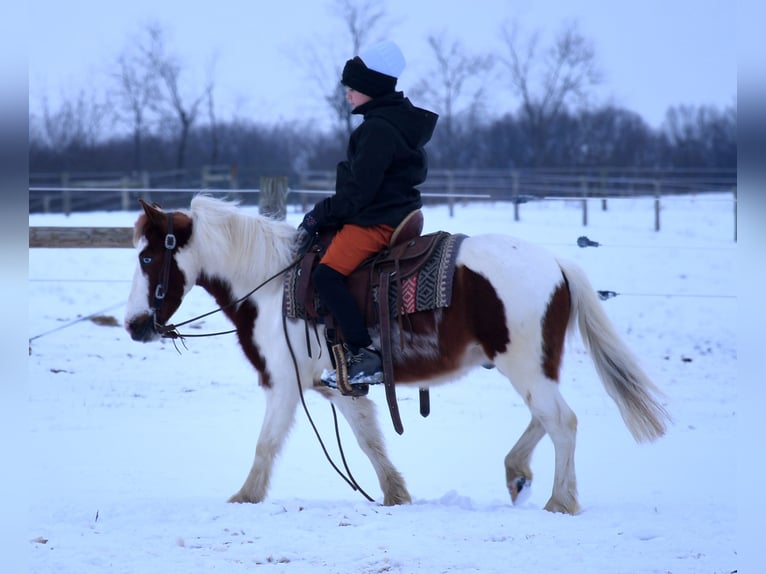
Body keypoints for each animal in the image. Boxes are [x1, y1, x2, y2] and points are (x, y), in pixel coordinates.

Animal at [123, 196, 668, 516]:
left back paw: (560, 501)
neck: (272, 284)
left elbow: (266, 443)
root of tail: (556, 262)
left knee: (562, 421)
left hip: (524, 363)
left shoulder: (285, 381)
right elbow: (369, 441)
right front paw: (394, 494)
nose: (133, 325)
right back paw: (519, 473)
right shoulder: (336, 385)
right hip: (530, 365)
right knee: (545, 418)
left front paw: (245, 496)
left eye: (148, 256)